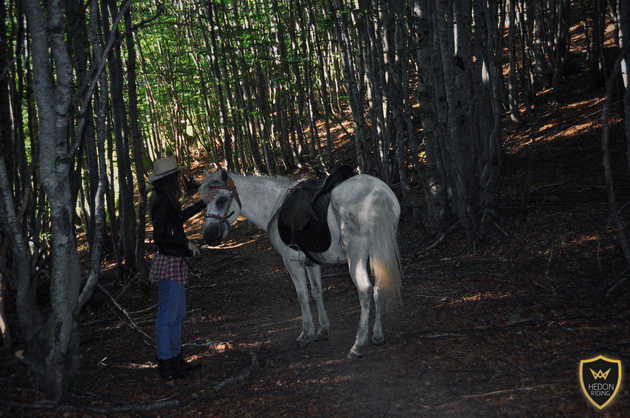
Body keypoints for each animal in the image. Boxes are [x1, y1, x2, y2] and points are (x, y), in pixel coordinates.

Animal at [200, 168, 402, 358]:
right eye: (206, 202)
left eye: (221, 200)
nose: (209, 235)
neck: (275, 204)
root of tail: (377, 191)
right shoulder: (311, 264)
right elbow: (317, 293)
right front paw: (322, 330)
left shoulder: (292, 262)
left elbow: (302, 296)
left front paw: (305, 335)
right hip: (377, 252)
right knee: (378, 287)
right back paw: (377, 335)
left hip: (356, 255)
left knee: (365, 290)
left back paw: (358, 345)